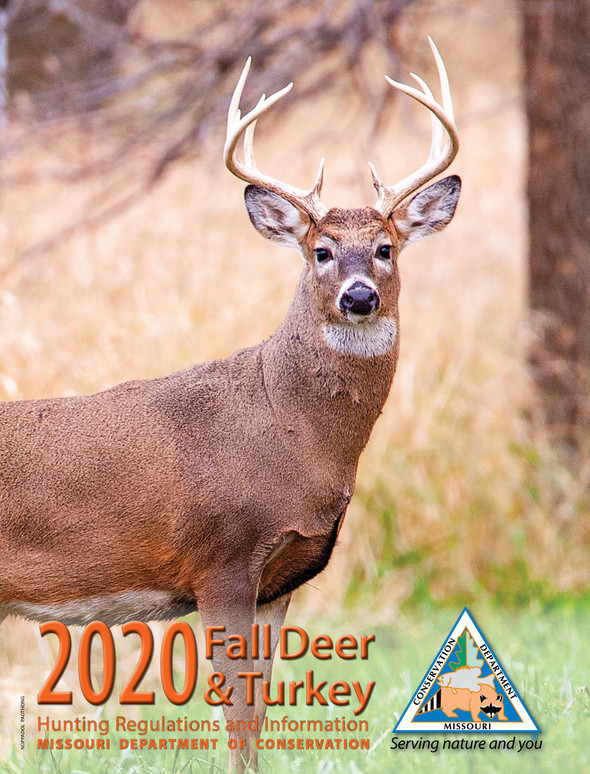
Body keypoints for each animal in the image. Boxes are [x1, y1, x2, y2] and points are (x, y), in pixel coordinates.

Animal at [0, 39, 459, 771]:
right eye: (321, 251)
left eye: (386, 248)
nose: (358, 295)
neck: (291, 432)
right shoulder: (219, 556)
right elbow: (236, 712)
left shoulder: (281, 577)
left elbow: (259, 710)